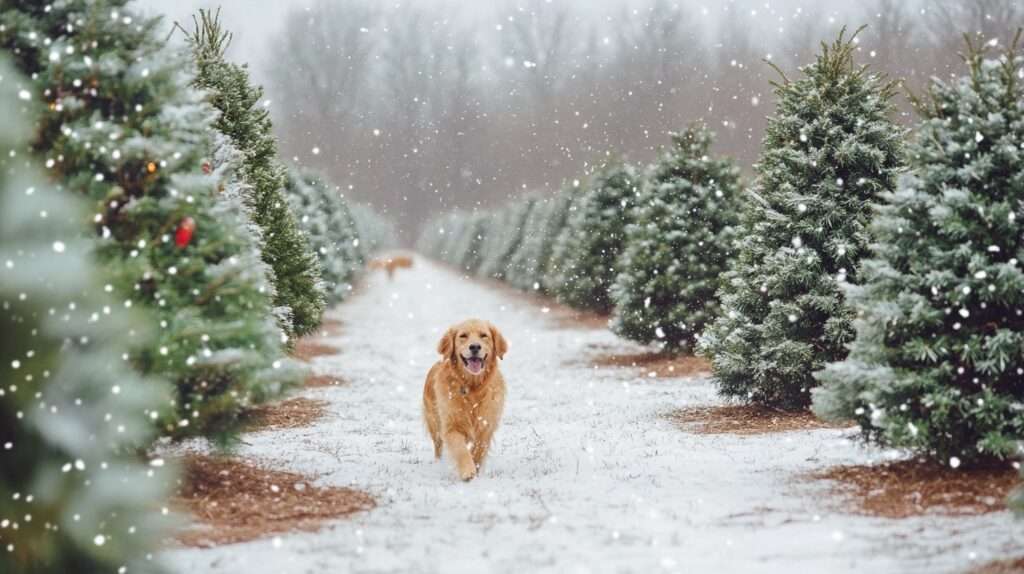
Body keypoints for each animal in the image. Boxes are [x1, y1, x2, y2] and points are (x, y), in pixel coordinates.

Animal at [419, 317, 507, 478]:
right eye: (463, 336)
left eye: (484, 335)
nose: (475, 347)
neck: (472, 387)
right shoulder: (451, 425)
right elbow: (460, 450)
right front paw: (467, 471)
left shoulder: (486, 426)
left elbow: (478, 450)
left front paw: (475, 468)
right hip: (434, 422)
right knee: (438, 446)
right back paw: (438, 463)